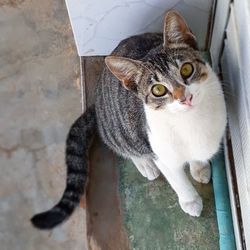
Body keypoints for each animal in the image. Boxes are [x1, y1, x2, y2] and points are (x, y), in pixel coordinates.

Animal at [31, 9, 227, 229]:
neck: (191, 120)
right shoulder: (160, 151)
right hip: (121, 131)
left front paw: (200, 167)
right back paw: (145, 164)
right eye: (158, 90)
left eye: (186, 69)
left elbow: (199, 154)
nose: (184, 97)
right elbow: (177, 178)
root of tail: (97, 100)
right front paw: (190, 200)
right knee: (123, 145)